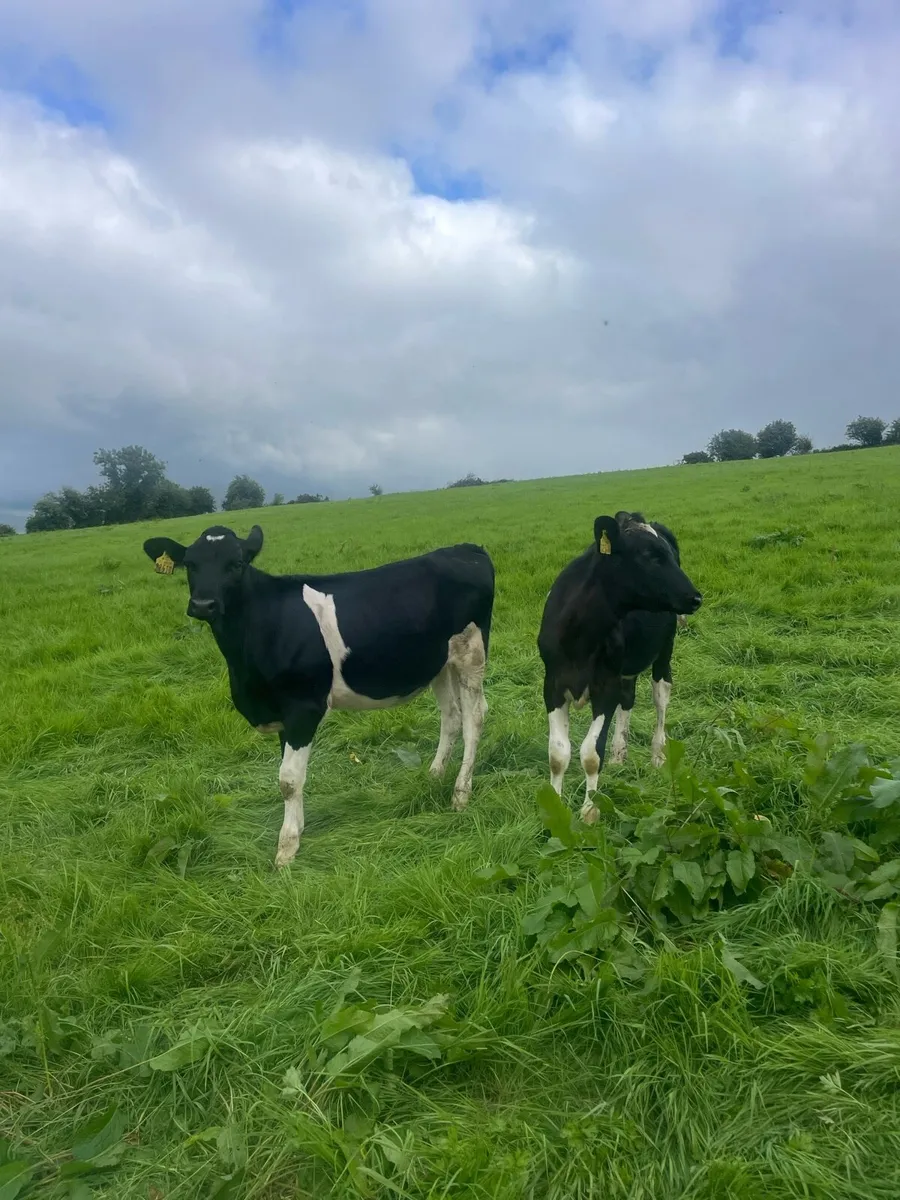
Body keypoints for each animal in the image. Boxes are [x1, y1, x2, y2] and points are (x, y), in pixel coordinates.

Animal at [142, 525, 495, 868]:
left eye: (237, 563)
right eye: (190, 563)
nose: (204, 604)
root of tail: (466, 547)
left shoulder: (304, 708)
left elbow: (288, 779)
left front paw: (286, 849)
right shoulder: (283, 714)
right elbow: (290, 776)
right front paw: (297, 829)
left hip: (471, 651)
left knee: (474, 718)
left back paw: (460, 793)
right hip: (440, 663)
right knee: (451, 717)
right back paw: (434, 776)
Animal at [537, 511, 701, 824]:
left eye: (667, 553)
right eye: (650, 555)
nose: (696, 597)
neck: (579, 633)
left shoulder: (606, 685)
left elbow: (591, 753)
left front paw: (590, 810)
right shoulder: (552, 684)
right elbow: (557, 753)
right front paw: (556, 808)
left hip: (663, 652)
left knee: (661, 700)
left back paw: (658, 755)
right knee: (629, 699)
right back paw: (618, 755)